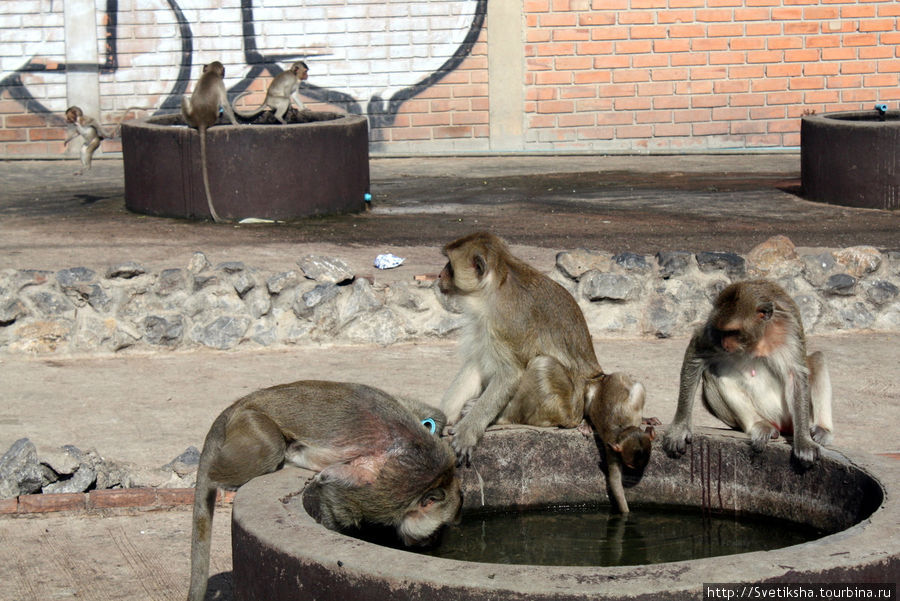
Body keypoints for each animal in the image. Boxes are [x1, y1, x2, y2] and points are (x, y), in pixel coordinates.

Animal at [180, 59, 239, 224]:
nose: (224, 73)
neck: (211, 73)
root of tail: (201, 120)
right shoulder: (220, 83)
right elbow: (225, 104)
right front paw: (236, 123)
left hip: (190, 116)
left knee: (184, 98)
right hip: (213, 116)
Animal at [186, 380, 460, 600]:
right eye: (439, 529)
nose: (433, 541)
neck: (437, 479)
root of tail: (243, 402)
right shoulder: (393, 491)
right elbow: (335, 496)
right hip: (252, 422)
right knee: (268, 448)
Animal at [436, 231, 648, 468]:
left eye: (450, 265)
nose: (439, 275)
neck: (493, 288)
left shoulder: (504, 323)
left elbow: (510, 374)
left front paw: (468, 431)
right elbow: (476, 364)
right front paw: (439, 418)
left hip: (565, 409)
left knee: (542, 364)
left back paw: (504, 417)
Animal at [584, 370, 652, 510]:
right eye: (630, 466)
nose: (636, 473)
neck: (624, 429)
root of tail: (605, 377)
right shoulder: (612, 450)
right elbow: (615, 481)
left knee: (637, 387)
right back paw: (587, 422)